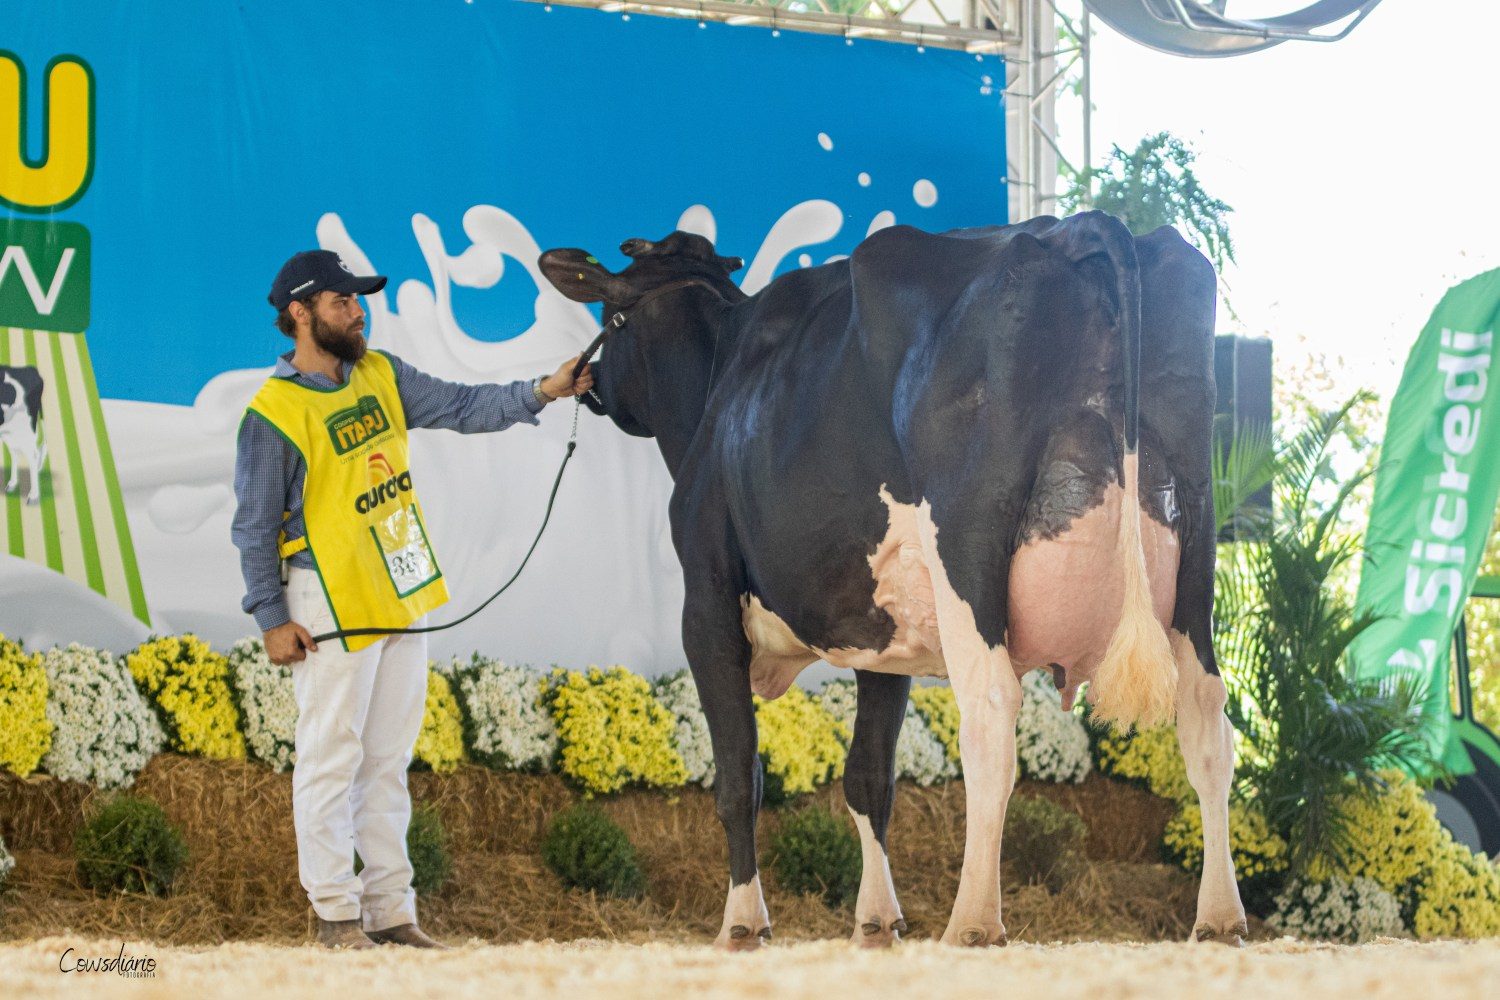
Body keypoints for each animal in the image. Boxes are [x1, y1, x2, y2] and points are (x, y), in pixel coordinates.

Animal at [0, 365, 46, 503]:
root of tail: (31, 369)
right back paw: (12, 484)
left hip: (24, 429)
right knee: (14, 453)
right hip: (10, 432)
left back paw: (33, 496)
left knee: (33, 456)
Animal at [540, 209, 1242, 947]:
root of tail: (1081, 225)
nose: (585, 383)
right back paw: (1219, 917)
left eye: (611, 316)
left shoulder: (704, 603)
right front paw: (876, 920)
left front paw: (742, 923)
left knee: (992, 713)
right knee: (1207, 719)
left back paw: (974, 920)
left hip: (965, 551)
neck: (716, 389)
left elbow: (738, 777)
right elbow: (869, 778)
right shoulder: (886, 632)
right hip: (1196, 548)